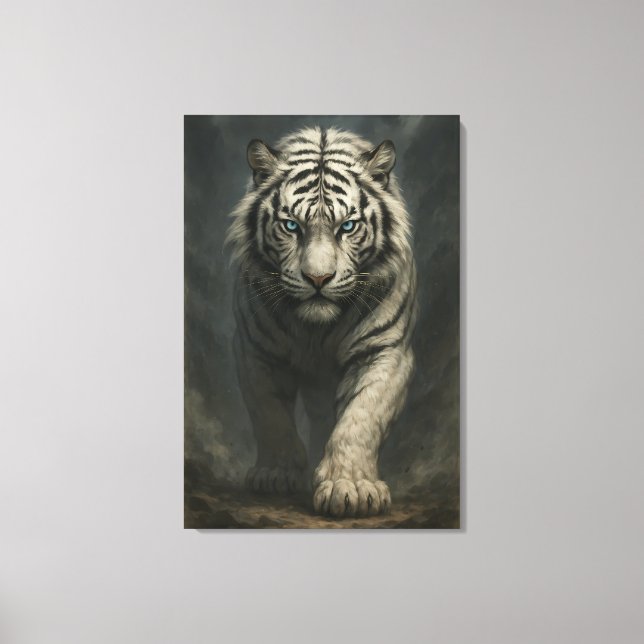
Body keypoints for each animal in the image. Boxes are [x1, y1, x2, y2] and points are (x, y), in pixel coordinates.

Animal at [226, 126, 417, 518]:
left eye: (348, 226)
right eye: (290, 226)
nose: (318, 278)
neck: (317, 330)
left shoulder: (385, 350)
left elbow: (360, 419)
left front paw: (351, 488)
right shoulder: (255, 350)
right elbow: (270, 413)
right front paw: (276, 473)